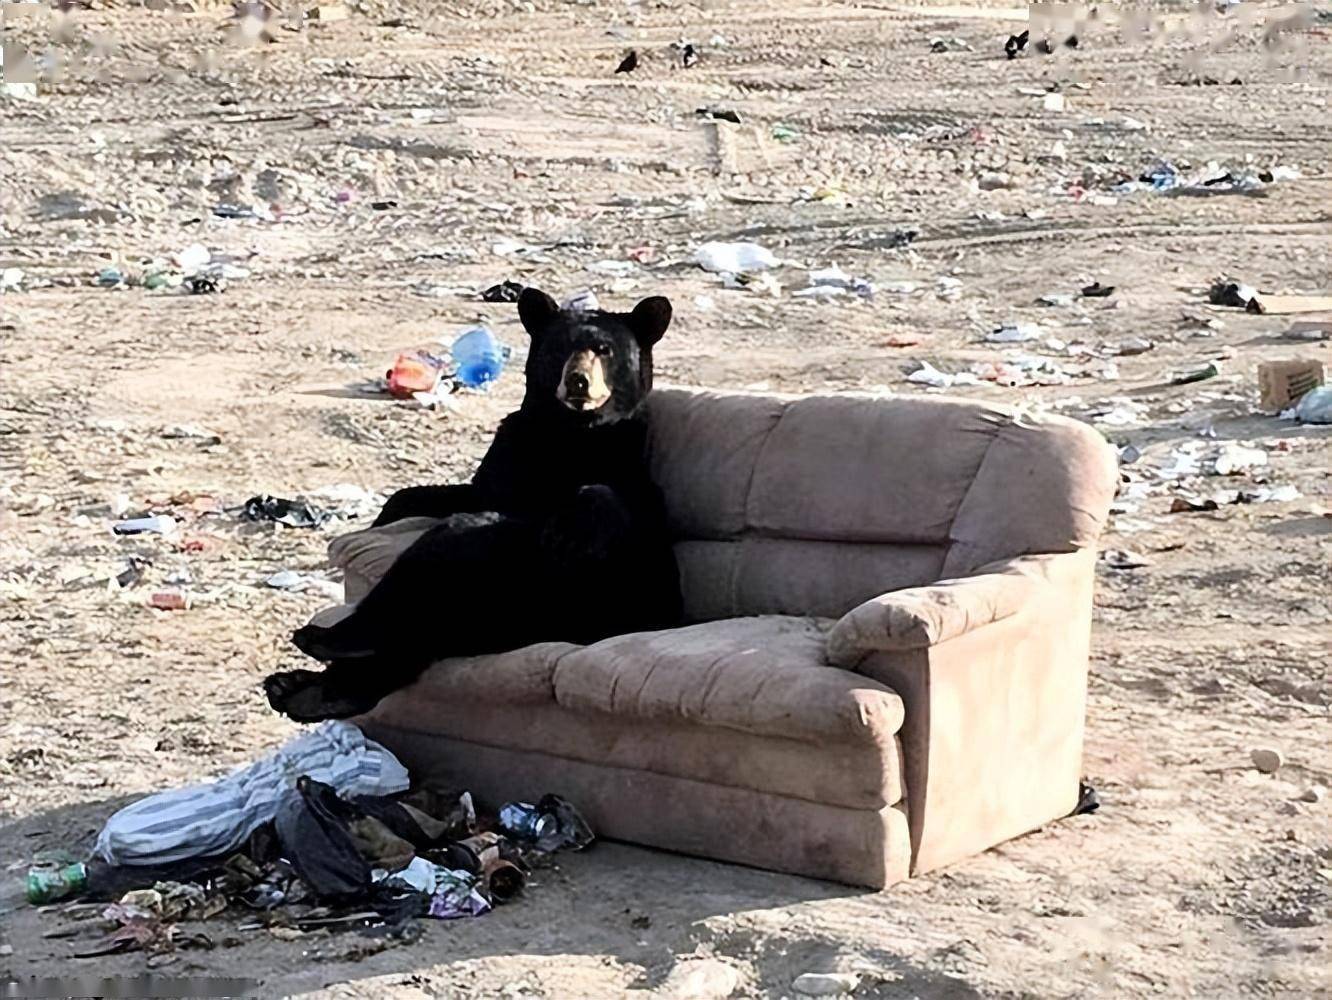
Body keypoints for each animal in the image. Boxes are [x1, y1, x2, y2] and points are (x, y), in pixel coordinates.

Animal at [263, 287, 683, 723]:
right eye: (559, 348)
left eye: (605, 350)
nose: (577, 381)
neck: (566, 432)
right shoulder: (507, 457)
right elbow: (440, 494)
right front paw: (385, 514)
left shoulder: (625, 465)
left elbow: (623, 505)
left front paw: (574, 526)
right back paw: (304, 682)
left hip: (554, 593)